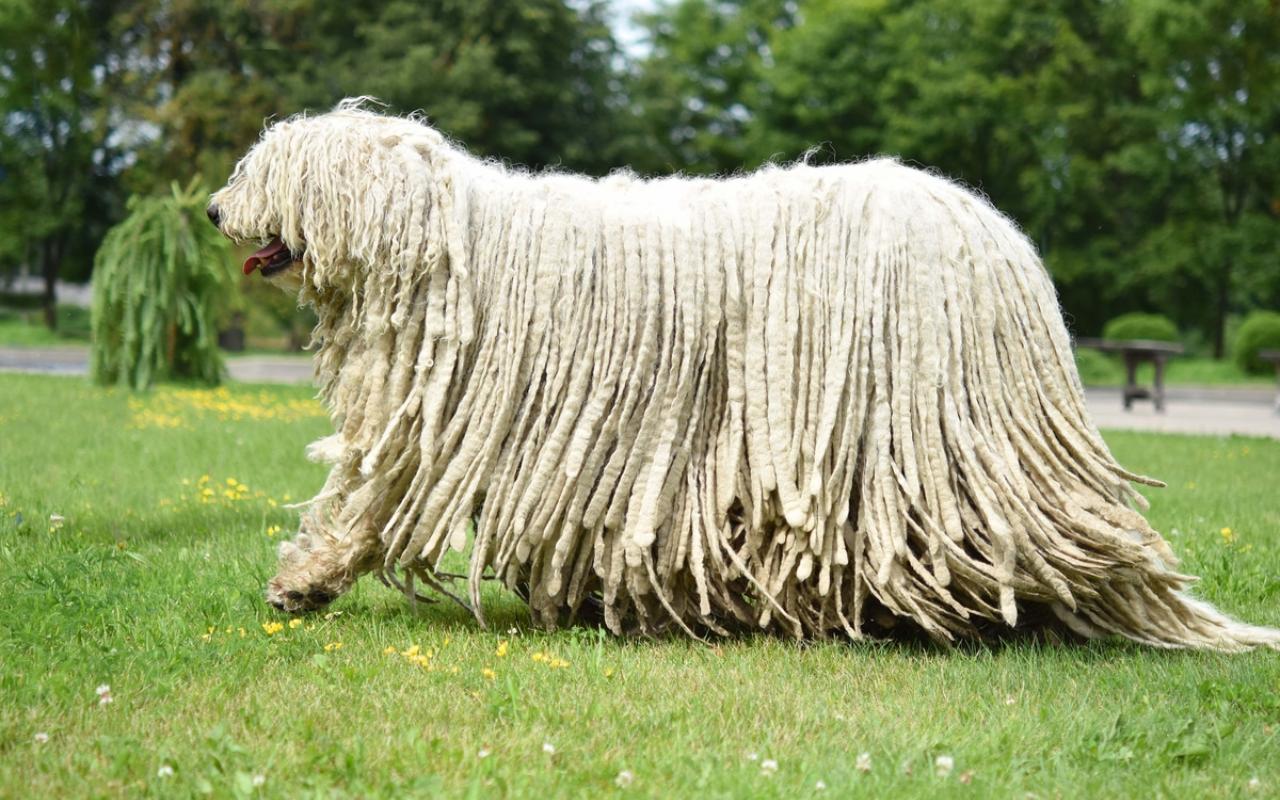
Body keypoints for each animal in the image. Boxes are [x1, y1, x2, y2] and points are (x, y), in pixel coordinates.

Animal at [212, 99, 1280, 650]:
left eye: (269, 166)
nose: (218, 210)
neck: (449, 248)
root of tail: (999, 242)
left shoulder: (441, 419)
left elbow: (367, 492)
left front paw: (302, 580)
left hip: (926, 436)